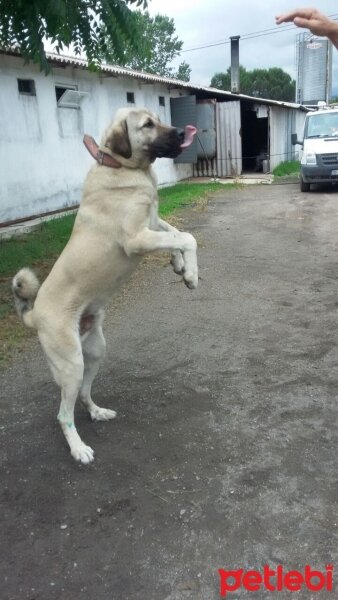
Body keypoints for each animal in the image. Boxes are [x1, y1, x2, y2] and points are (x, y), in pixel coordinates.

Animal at [12, 106, 198, 464]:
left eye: (159, 117)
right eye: (148, 125)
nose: (183, 132)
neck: (121, 167)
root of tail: (34, 314)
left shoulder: (152, 224)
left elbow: (175, 231)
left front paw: (180, 266)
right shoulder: (137, 239)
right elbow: (186, 236)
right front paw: (191, 272)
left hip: (95, 351)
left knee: (85, 394)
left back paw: (97, 412)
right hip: (71, 364)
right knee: (63, 414)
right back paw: (78, 449)